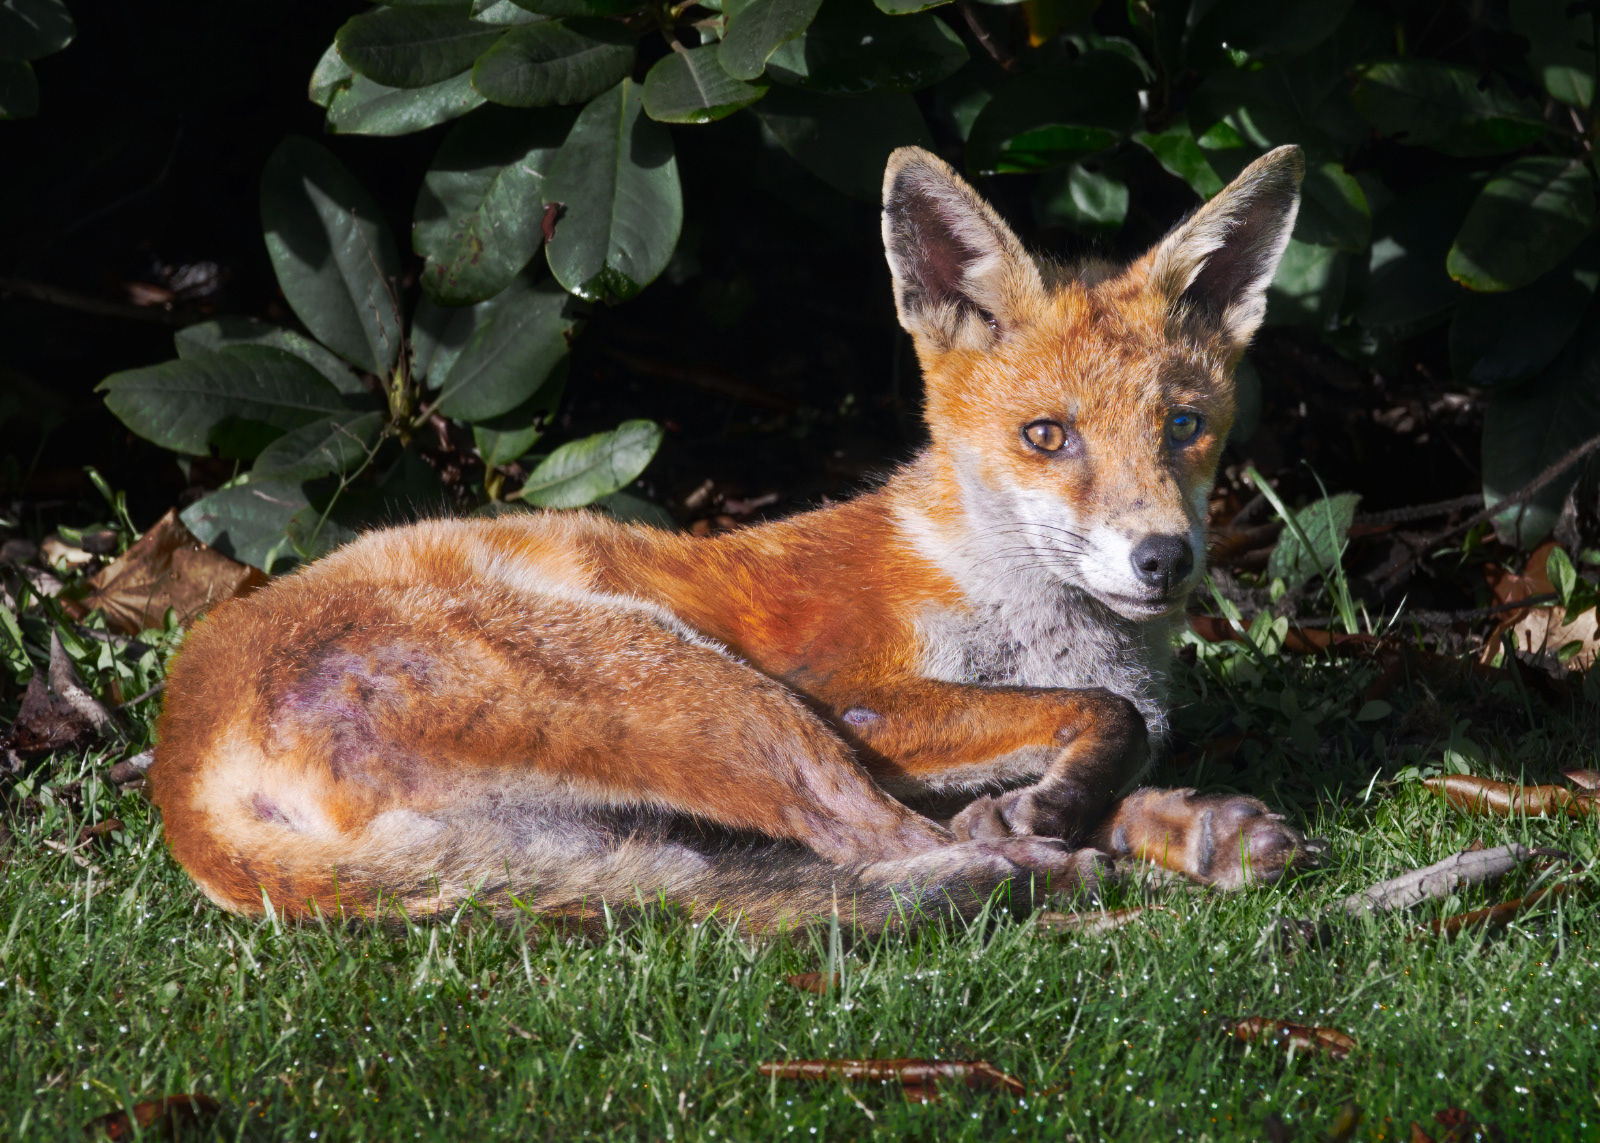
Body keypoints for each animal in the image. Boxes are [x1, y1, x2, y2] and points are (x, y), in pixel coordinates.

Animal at [150, 143, 1314, 933]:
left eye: (1183, 427)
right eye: (1047, 436)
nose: (1164, 559)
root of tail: (176, 765)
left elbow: (1090, 753)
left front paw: (1145, 815)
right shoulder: (857, 699)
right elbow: (1101, 718)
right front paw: (1076, 812)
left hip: (603, 814)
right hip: (716, 697)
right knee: (871, 842)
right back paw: (1049, 881)